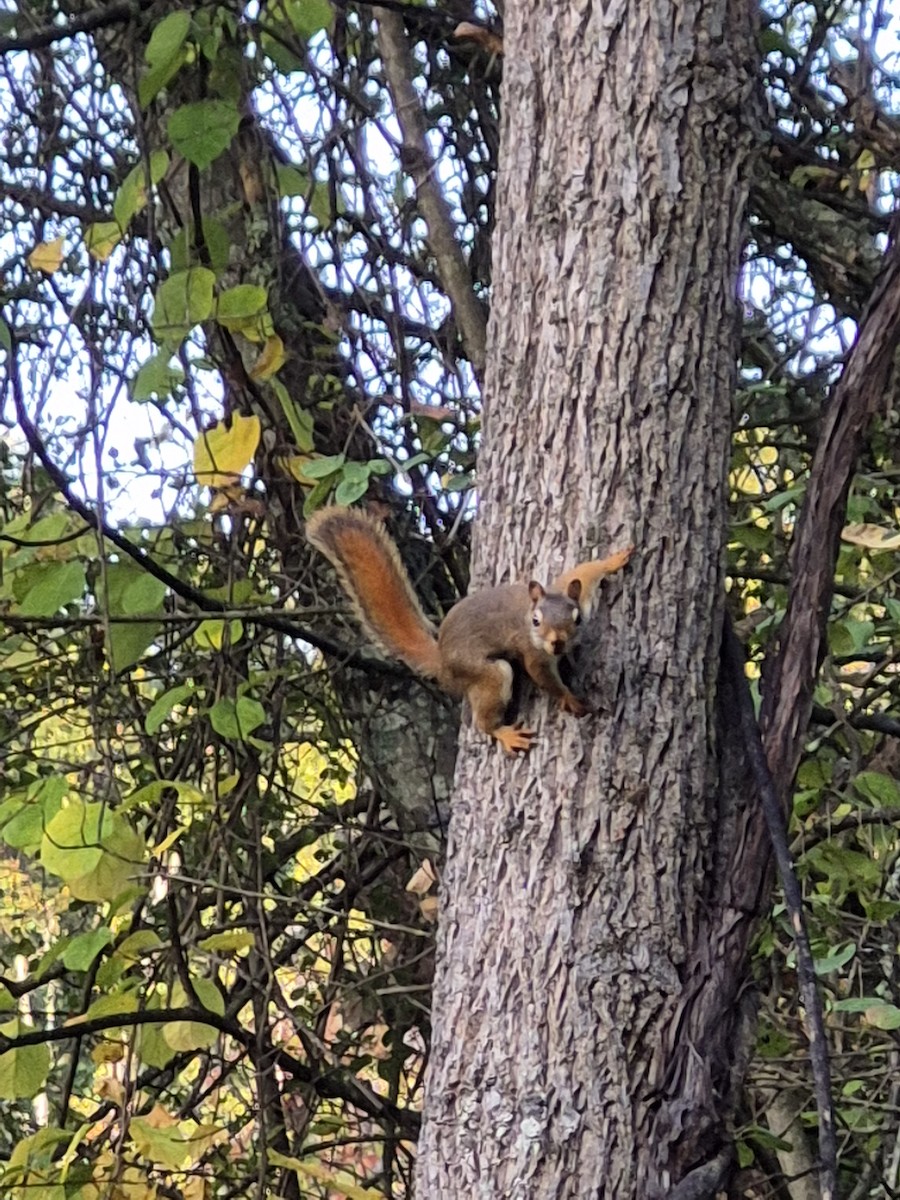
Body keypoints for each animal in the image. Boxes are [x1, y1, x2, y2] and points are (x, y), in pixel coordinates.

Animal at [306, 506, 633, 754]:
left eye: (576, 619)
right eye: (536, 622)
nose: (557, 644)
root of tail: (442, 660)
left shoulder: (568, 587)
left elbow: (585, 571)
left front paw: (613, 560)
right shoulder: (533, 653)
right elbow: (543, 677)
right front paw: (568, 697)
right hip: (483, 671)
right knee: (485, 712)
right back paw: (503, 733)